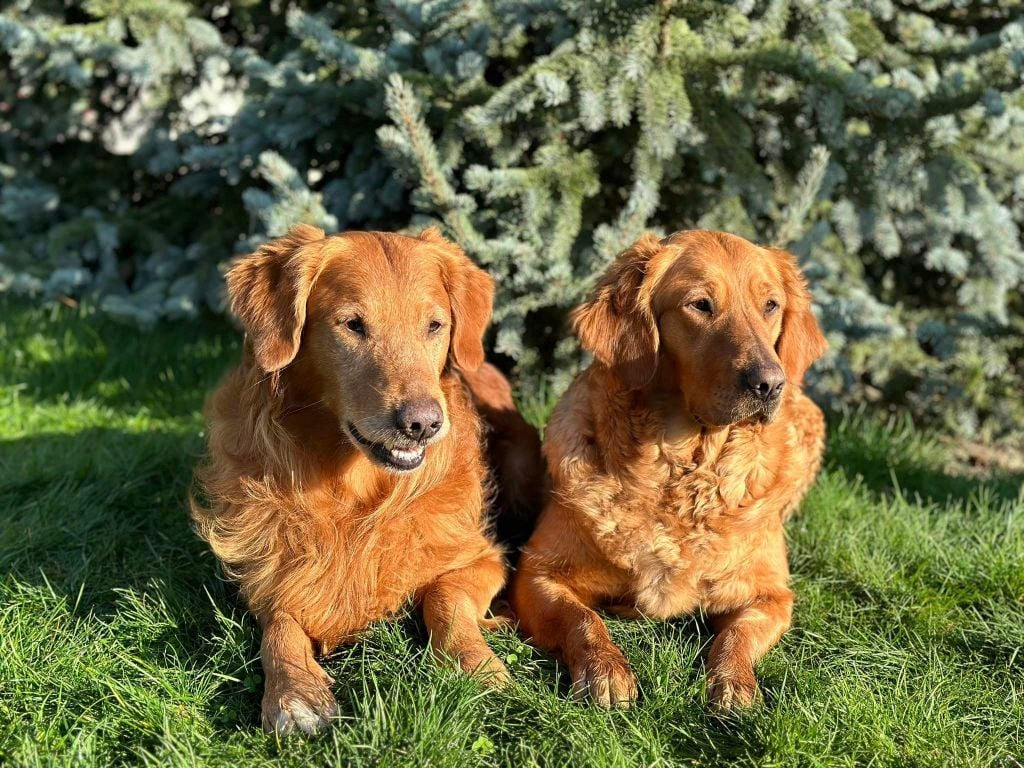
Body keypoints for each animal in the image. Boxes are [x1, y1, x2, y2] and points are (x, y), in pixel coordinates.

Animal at [192, 225, 544, 737]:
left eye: (434, 325)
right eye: (353, 325)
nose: (423, 424)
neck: (355, 490)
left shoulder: (482, 556)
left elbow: (444, 596)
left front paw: (475, 664)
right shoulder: (267, 571)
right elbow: (280, 622)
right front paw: (295, 692)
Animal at [507, 231, 827, 712]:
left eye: (771, 305)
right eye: (700, 305)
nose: (770, 384)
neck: (683, 476)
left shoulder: (771, 595)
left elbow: (737, 635)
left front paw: (733, 683)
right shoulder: (538, 574)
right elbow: (582, 618)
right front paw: (605, 670)